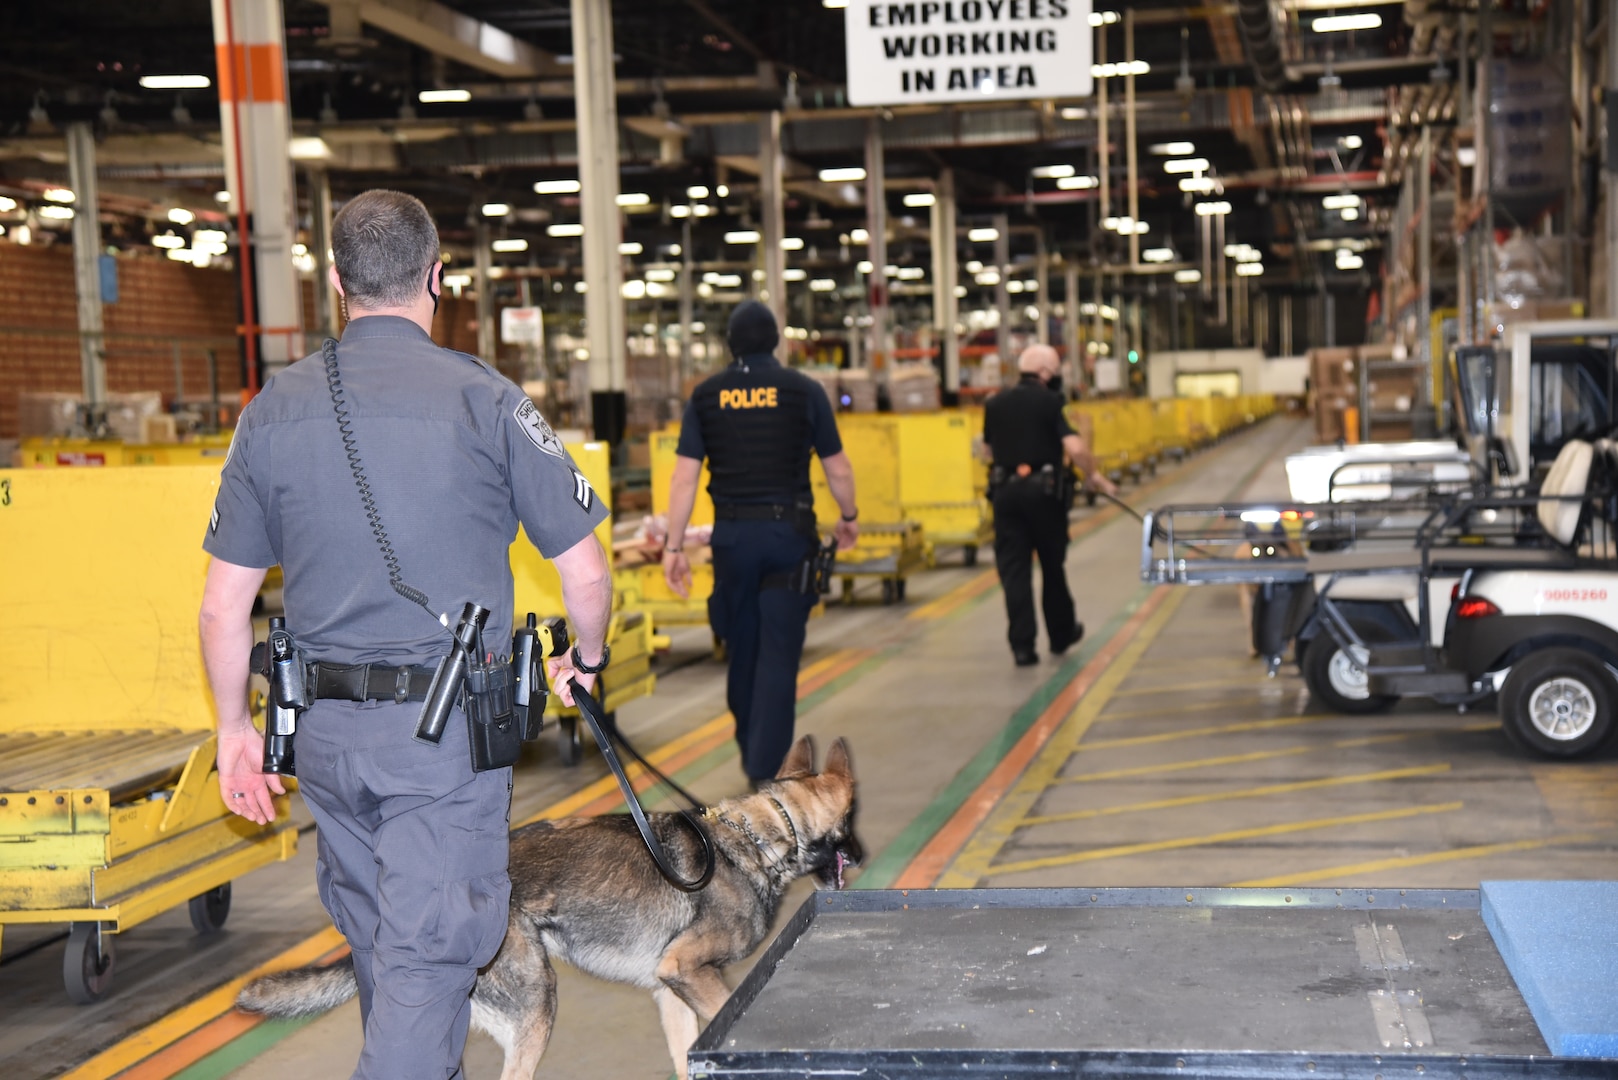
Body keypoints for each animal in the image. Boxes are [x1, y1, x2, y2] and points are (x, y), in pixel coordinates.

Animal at [236, 735, 860, 1080]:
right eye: (852, 825)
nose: (862, 855)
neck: (753, 836)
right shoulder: (687, 971)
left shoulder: (671, 993)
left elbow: (686, 1057)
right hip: (537, 1003)